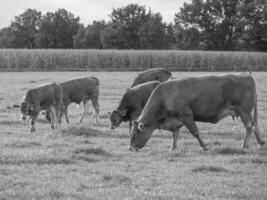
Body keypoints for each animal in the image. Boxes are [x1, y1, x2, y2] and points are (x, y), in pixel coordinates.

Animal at [129, 73, 266, 152]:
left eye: (134, 135)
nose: (130, 148)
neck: (165, 96)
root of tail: (246, 76)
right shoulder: (176, 119)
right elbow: (175, 134)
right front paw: (173, 147)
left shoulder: (186, 115)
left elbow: (195, 132)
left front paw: (204, 146)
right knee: (254, 126)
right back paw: (261, 142)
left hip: (243, 110)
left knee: (249, 126)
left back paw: (245, 145)